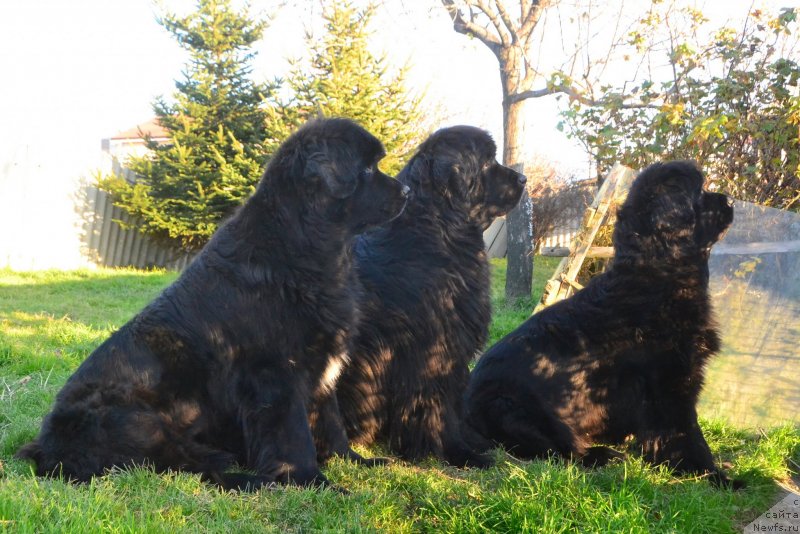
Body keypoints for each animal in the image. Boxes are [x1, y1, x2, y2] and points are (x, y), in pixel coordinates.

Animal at [16, 118, 410, 494]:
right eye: (368, 170)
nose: (407, 191)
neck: (308, 245)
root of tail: (45, 447)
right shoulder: (275, 375)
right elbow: (294, 436)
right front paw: (313, 483)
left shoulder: (321, 367)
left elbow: (332, 423)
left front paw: (355, 462)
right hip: (139, 420)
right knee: (188, 469)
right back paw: (255, 482)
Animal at [314, 125, 532, 468]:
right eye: (486, 162)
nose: (522, 179)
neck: (439, 230)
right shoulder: (432, 350)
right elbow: (436, 407)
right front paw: (455, 452)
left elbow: (454, 404)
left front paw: (473, 442)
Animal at [466, 161, 740, 488]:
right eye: (699, 192)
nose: (730, 200)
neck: (658, 273)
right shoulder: (670, 383)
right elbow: (686, 434)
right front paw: (712, 475)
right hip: (519, 410)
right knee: (561, 452)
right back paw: (603, 455)